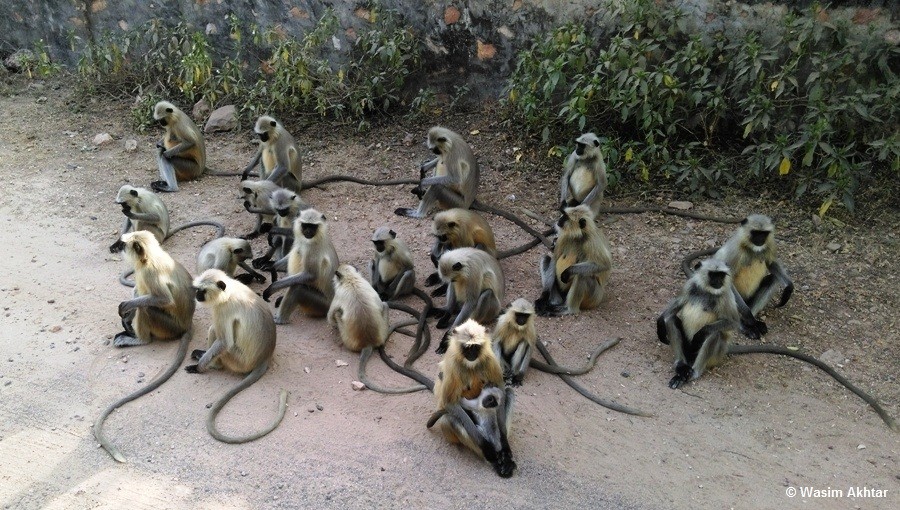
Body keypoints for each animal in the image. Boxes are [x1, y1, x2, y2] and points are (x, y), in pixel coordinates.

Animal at [94, 230, 196, 462]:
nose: (113, 247)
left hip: (167, 327)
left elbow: (163, 299)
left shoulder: (150, 273)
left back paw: (140, 339)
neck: (149, 259)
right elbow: (137, 290)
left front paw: (127, 308)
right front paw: (126, 317)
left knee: (148, 307)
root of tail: (187, 324)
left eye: (121, 244)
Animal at [185, 269, 289, 443]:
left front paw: (198, 368)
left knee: (214, 330)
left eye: (203, 291)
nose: (197, 295)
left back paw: (212, 364)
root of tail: (265, 357)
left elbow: (225, 342)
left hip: (237, 361)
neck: (229, 291)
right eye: (197, 289)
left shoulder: (223, 310)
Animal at [657, 258, 897, 431]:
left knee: (714, 336)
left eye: (721, 275)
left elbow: (731, 322)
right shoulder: (691, 286)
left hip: (716, 352)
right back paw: (681, 367)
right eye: (712, 275)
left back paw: (693, 372)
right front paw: (660, 323)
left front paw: (703, 332)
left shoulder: (724, 295)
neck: (707, 292)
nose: (717, 282)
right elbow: (671, 311)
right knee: (674, 320)